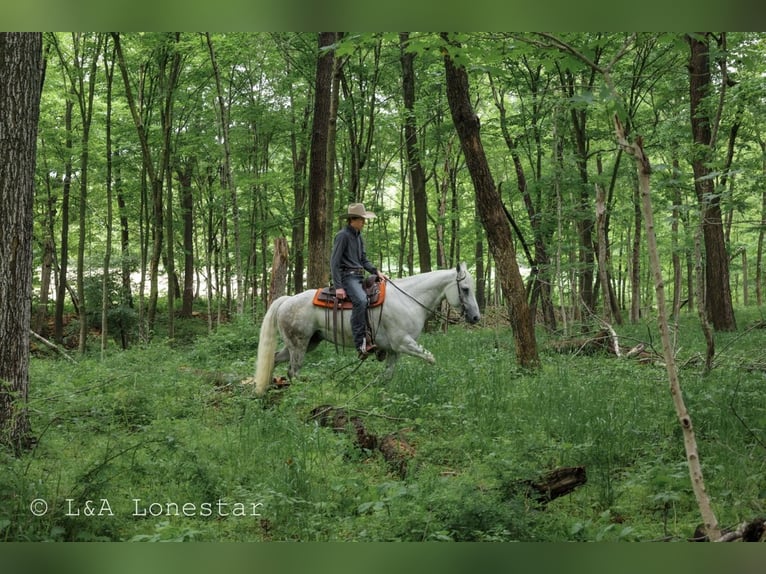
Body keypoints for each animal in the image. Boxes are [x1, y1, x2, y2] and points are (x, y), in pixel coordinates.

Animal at [252, 262, 481, 395]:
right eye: (465, 289)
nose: (476, 317)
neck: (408, 299)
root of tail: (287, 300)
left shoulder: (394, 349)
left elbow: (387, 375)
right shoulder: (403, 342)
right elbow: (431, 359)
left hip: (308, 343)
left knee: (274, 358)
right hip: (299, 345)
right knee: (293, 371)